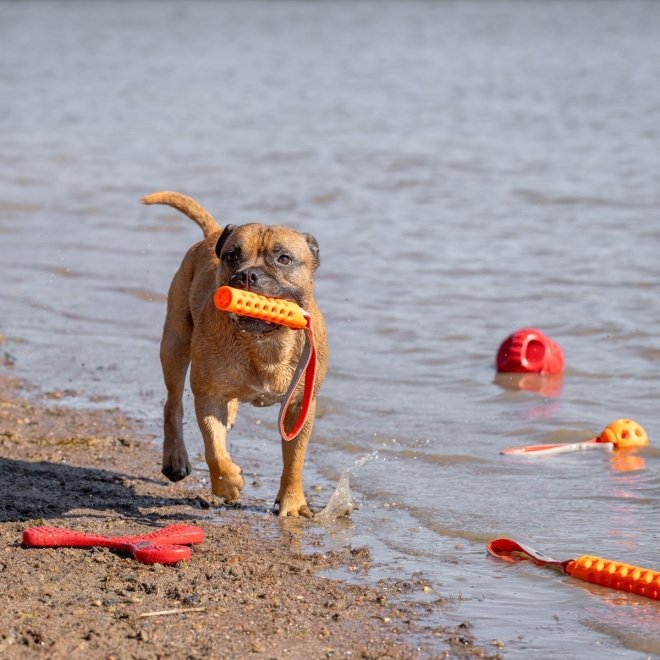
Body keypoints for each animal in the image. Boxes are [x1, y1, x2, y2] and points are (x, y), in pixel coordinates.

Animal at [142, 193, 328, 520]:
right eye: (232, 256)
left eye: (284, 259)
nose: (247, 275)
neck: (264, 343)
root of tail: (213, 233)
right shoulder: (208, 395)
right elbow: (214, 449)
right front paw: (227, 482)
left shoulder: (300, 406)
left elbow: (295, 459)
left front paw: (292, 502)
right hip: (175, 343)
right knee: (172, 404)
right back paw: (176, 458)